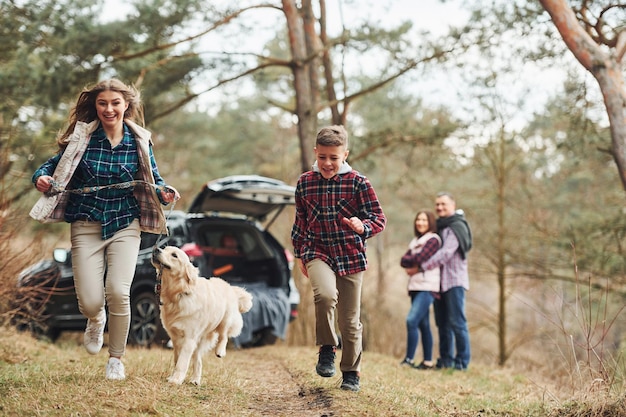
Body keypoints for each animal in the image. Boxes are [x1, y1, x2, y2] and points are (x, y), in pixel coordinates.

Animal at [151, 245, 251, 386]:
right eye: (165, 248)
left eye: (174, 255)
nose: (156, 249)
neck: (178, 294)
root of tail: (230, 287)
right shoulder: (176, 338)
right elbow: (177, 359)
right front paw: (176, 376)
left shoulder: (189, 339)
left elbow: (182, 362)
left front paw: (176, 380)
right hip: (200, 340)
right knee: (198, 359)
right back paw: (195, 380)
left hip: (225, 320)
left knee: (224, 335)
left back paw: (220, 351)